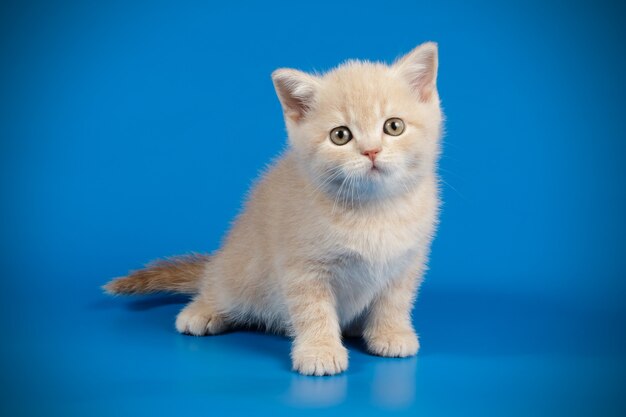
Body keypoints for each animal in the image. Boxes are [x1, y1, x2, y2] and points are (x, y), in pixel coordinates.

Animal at [103, 41, 444, 374]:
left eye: (394, 126)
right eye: (340, 135)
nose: (371, 151)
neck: (373, 208)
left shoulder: (408, 262)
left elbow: (395, 300)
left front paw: (391, 333)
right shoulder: (301, 265)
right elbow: (312, 309)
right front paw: (319, 350)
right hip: (241, 269)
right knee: (217, 286)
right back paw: (202, 311)